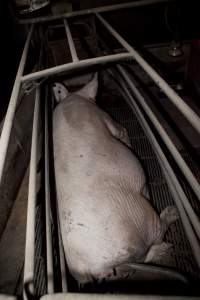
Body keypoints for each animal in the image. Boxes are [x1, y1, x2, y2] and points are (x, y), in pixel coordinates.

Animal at [52, 74, 178, 284]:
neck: (74, 98)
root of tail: (89, 267)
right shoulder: (107, 119)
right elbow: (122, 131)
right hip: (141, 218)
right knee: (154, 238)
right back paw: (171, 218)